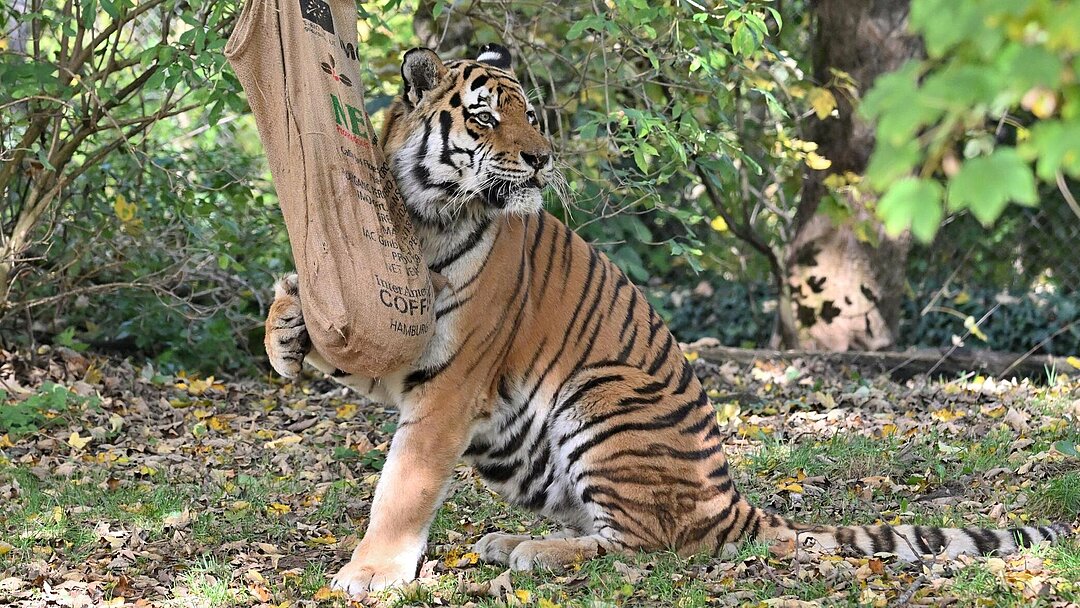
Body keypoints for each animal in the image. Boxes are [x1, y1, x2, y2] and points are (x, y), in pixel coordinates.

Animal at [261, 45, 1071, 596]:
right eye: (488, 116)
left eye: (532, 115)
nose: (542, 159)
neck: (427, 217)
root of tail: (737, 503)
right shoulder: (403, 345)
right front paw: (285, 330)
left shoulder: (451, 378)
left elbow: (405, 484)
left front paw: (371, 573)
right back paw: (507, 540)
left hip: (605, 399)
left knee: (647, 545)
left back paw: (531, 552)